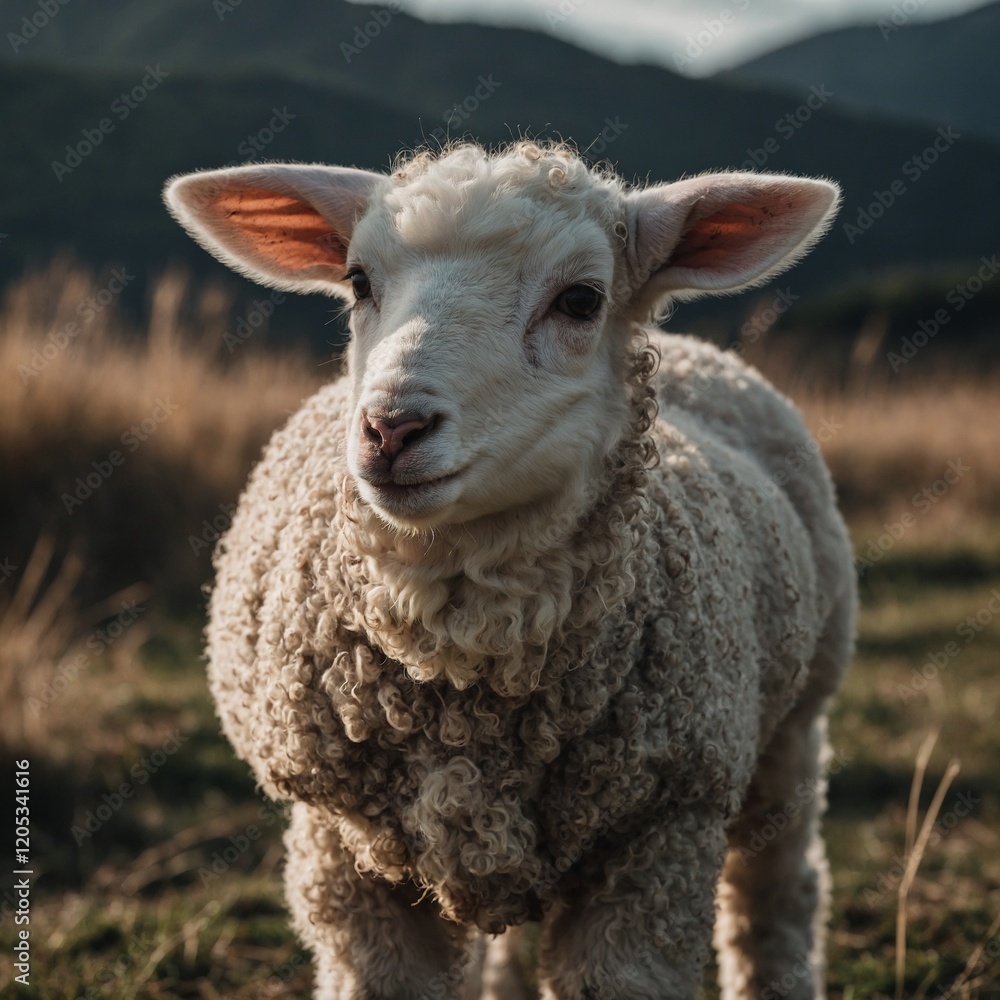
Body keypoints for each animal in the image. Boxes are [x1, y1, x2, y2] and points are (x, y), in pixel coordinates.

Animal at [164, 141, 856, 1000]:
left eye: (581, 300)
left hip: (795, 725)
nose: (391, 428)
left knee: (777, 894)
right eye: (358, 282)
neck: (468, 682)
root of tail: (704, 352)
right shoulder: (343, 851)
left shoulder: (659, 838)